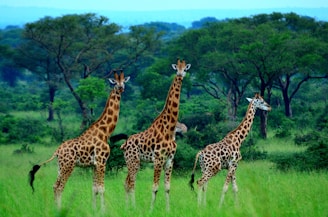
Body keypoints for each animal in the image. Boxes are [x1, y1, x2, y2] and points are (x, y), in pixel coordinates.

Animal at [28, 71, 130, 210]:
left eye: (124, 81)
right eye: (115, 82)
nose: (121, 88)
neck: (105, 132)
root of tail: (57, 151)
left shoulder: (94, 164)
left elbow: (94, 189)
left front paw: (94, 210)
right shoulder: (101, 161)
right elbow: (101, 188)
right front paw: (103, 210)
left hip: (60, 167)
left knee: (55, 186)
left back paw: (56, 209)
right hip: (68, 166)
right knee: (60, 187)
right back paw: (59, 209)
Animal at [120, 59, 191, 210]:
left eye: (185, 69)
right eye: (176, 68)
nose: (180, 75)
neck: (169, 130)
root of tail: (124, 144)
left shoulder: (170, 160)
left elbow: (167, 187)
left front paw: (168, 210)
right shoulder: (158, 160)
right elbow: (155, 187)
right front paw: (151, 209)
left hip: (134, 161)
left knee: (126, 182)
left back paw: (127, 207)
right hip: (133, 161)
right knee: (131, 184)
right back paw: (133, 208)